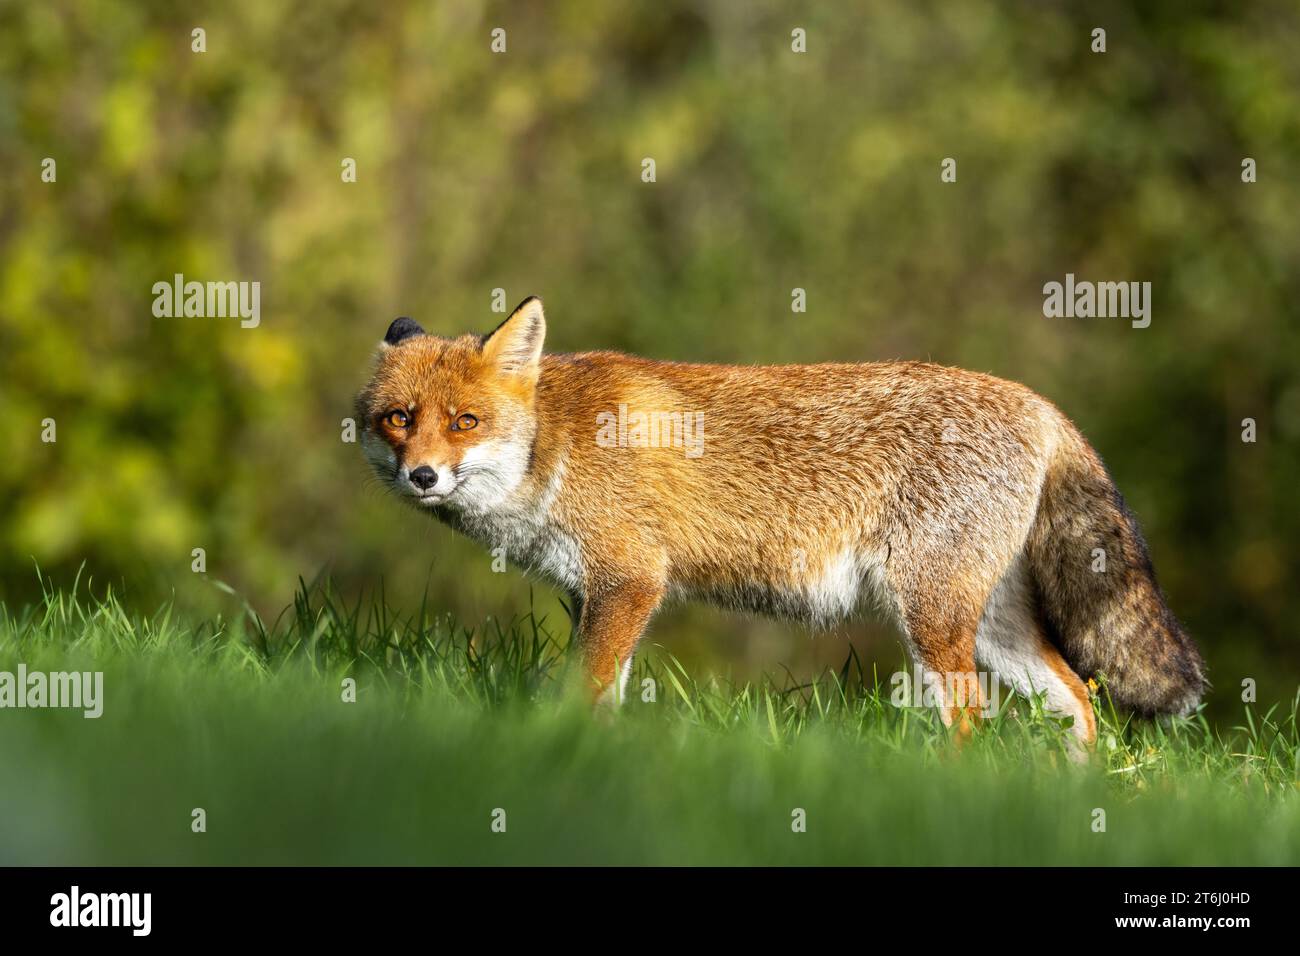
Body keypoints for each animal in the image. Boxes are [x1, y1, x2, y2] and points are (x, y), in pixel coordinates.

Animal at [356, 296, 1206, 749]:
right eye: (399, 419)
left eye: (464, 422)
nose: (422, 475)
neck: (556, 446)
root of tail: (1041, 405)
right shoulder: (594, 594)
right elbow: (606, 692)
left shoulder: (631, 581)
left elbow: (582, 689)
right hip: (991, 626)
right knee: (1079, 698)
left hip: (930, 617)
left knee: (971, 716)